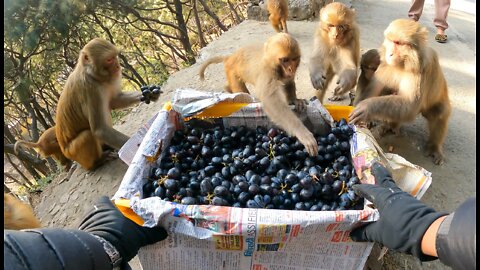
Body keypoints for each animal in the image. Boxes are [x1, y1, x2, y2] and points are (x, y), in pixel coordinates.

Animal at [55, 38, 158, 170]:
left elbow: (114, 101)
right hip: (74, 153)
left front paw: (149, 93)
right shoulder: (90, 89)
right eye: (109, 59)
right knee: (87, 135)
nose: (118, 66)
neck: (93, 76)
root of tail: (64, 150)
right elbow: (100, 129)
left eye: (115, 57)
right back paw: (98, 161)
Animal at [348, 18, 450, 165]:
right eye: (391, 41)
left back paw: (434, 147)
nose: (389, 53)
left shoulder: (422, 68)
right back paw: (390, 126)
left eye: (398, 43)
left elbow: (410, 105)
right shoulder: (385, 63)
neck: (403, 62)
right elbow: (373, 90)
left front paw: (366, 108)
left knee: (439, 113)